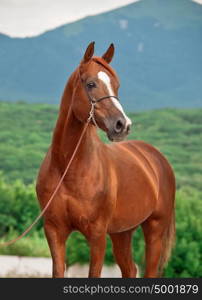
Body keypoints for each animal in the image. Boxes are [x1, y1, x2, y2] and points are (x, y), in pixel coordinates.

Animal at [36, 42, 175, 278]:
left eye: (117, 85)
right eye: (91, 84)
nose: (123, 125)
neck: (68, 168)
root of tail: (156, 159)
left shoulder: (97, 234)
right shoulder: (54, 230)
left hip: (154, 229)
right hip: (122, 232)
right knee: (130, 269)